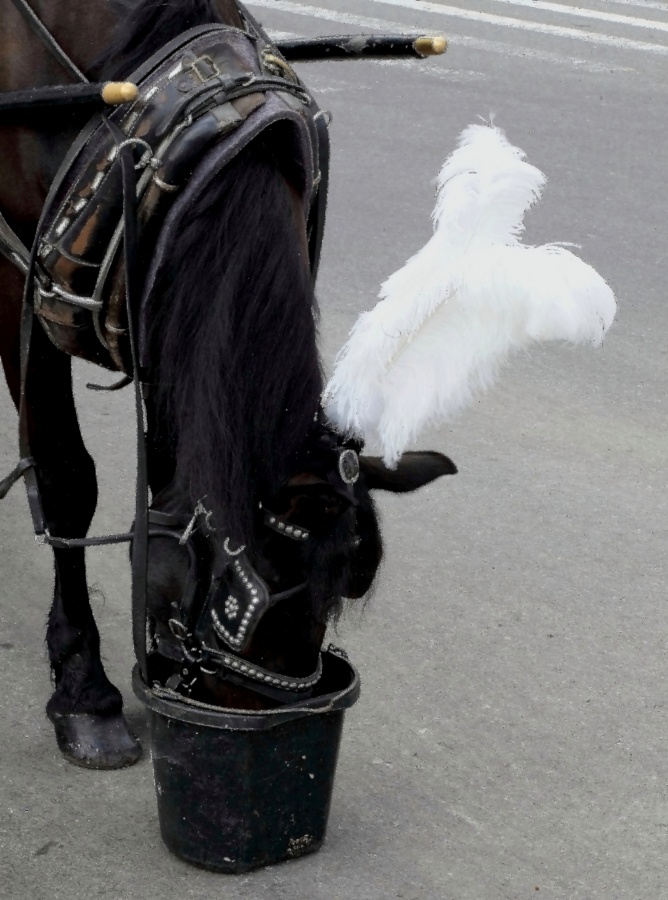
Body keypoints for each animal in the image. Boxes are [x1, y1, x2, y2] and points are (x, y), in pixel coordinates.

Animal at [0, 0, 454, 768]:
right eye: (254, 608)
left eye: (333, 603)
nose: (248, 720)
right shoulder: (12, 275)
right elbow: (65, 478)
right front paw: (85, 689)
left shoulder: (169, 309)